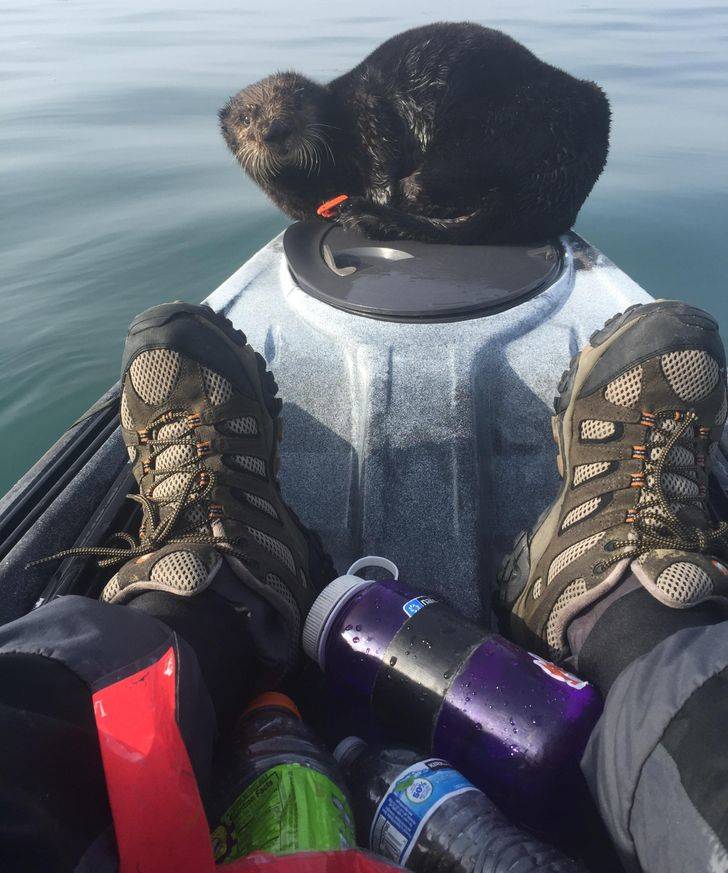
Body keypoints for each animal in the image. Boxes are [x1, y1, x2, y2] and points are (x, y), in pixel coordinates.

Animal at [219, 22, 610, 244]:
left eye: (296, 100)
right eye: (245, 118)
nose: (275, 130)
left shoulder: (366, 104)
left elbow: (379, 143)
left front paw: (377, 194)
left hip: (500, 126)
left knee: (420, 189)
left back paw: (366, 212)